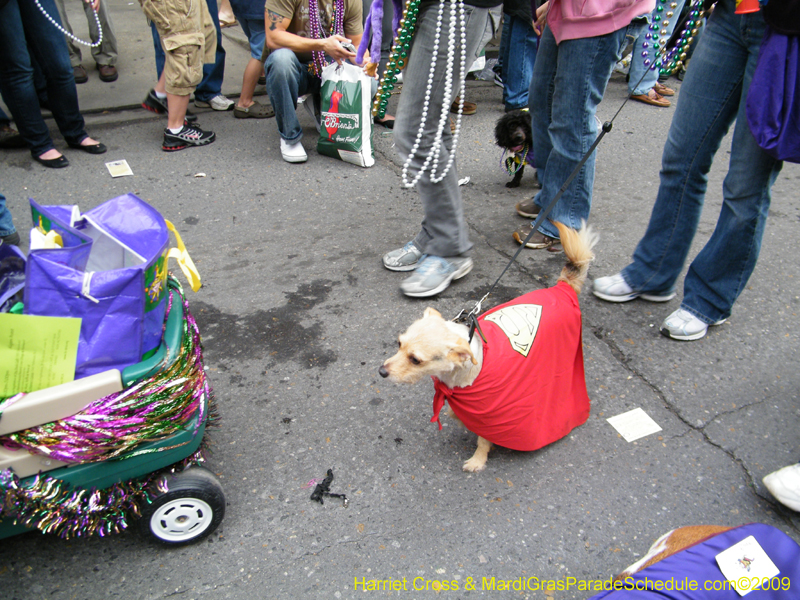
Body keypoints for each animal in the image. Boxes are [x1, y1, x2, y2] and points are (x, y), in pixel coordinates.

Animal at [382, 223, 600, 472]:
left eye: (416, 360)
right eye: (399, 343)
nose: (381, 371)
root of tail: (563, 286)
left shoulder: (491, 417)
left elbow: (483, 440)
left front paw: (478, 460)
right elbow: (455, 413)